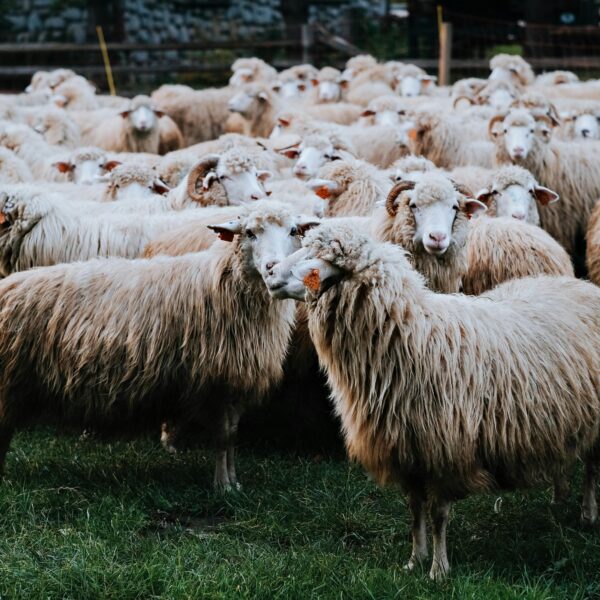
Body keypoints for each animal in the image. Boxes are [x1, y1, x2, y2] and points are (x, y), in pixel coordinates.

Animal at [0, 200, 320, 490]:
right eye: (250, 232)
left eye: (293, 231)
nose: (272, 267)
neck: (225, 285)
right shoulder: (218, 380)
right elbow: (222, 437)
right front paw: (223, 486)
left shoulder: (234, 382)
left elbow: (231, 436)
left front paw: (233, 482)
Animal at [269, 221, 600, 580]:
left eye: (316, 258)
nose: (270, 271)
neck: (410, 333)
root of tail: (581, 284)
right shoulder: (406, 448)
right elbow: (415, 510)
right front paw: (415, 559)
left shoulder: (444, 447)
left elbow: (439, 514)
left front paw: (439, 571)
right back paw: (558, 499)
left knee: (592, 467)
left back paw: (588, 513)